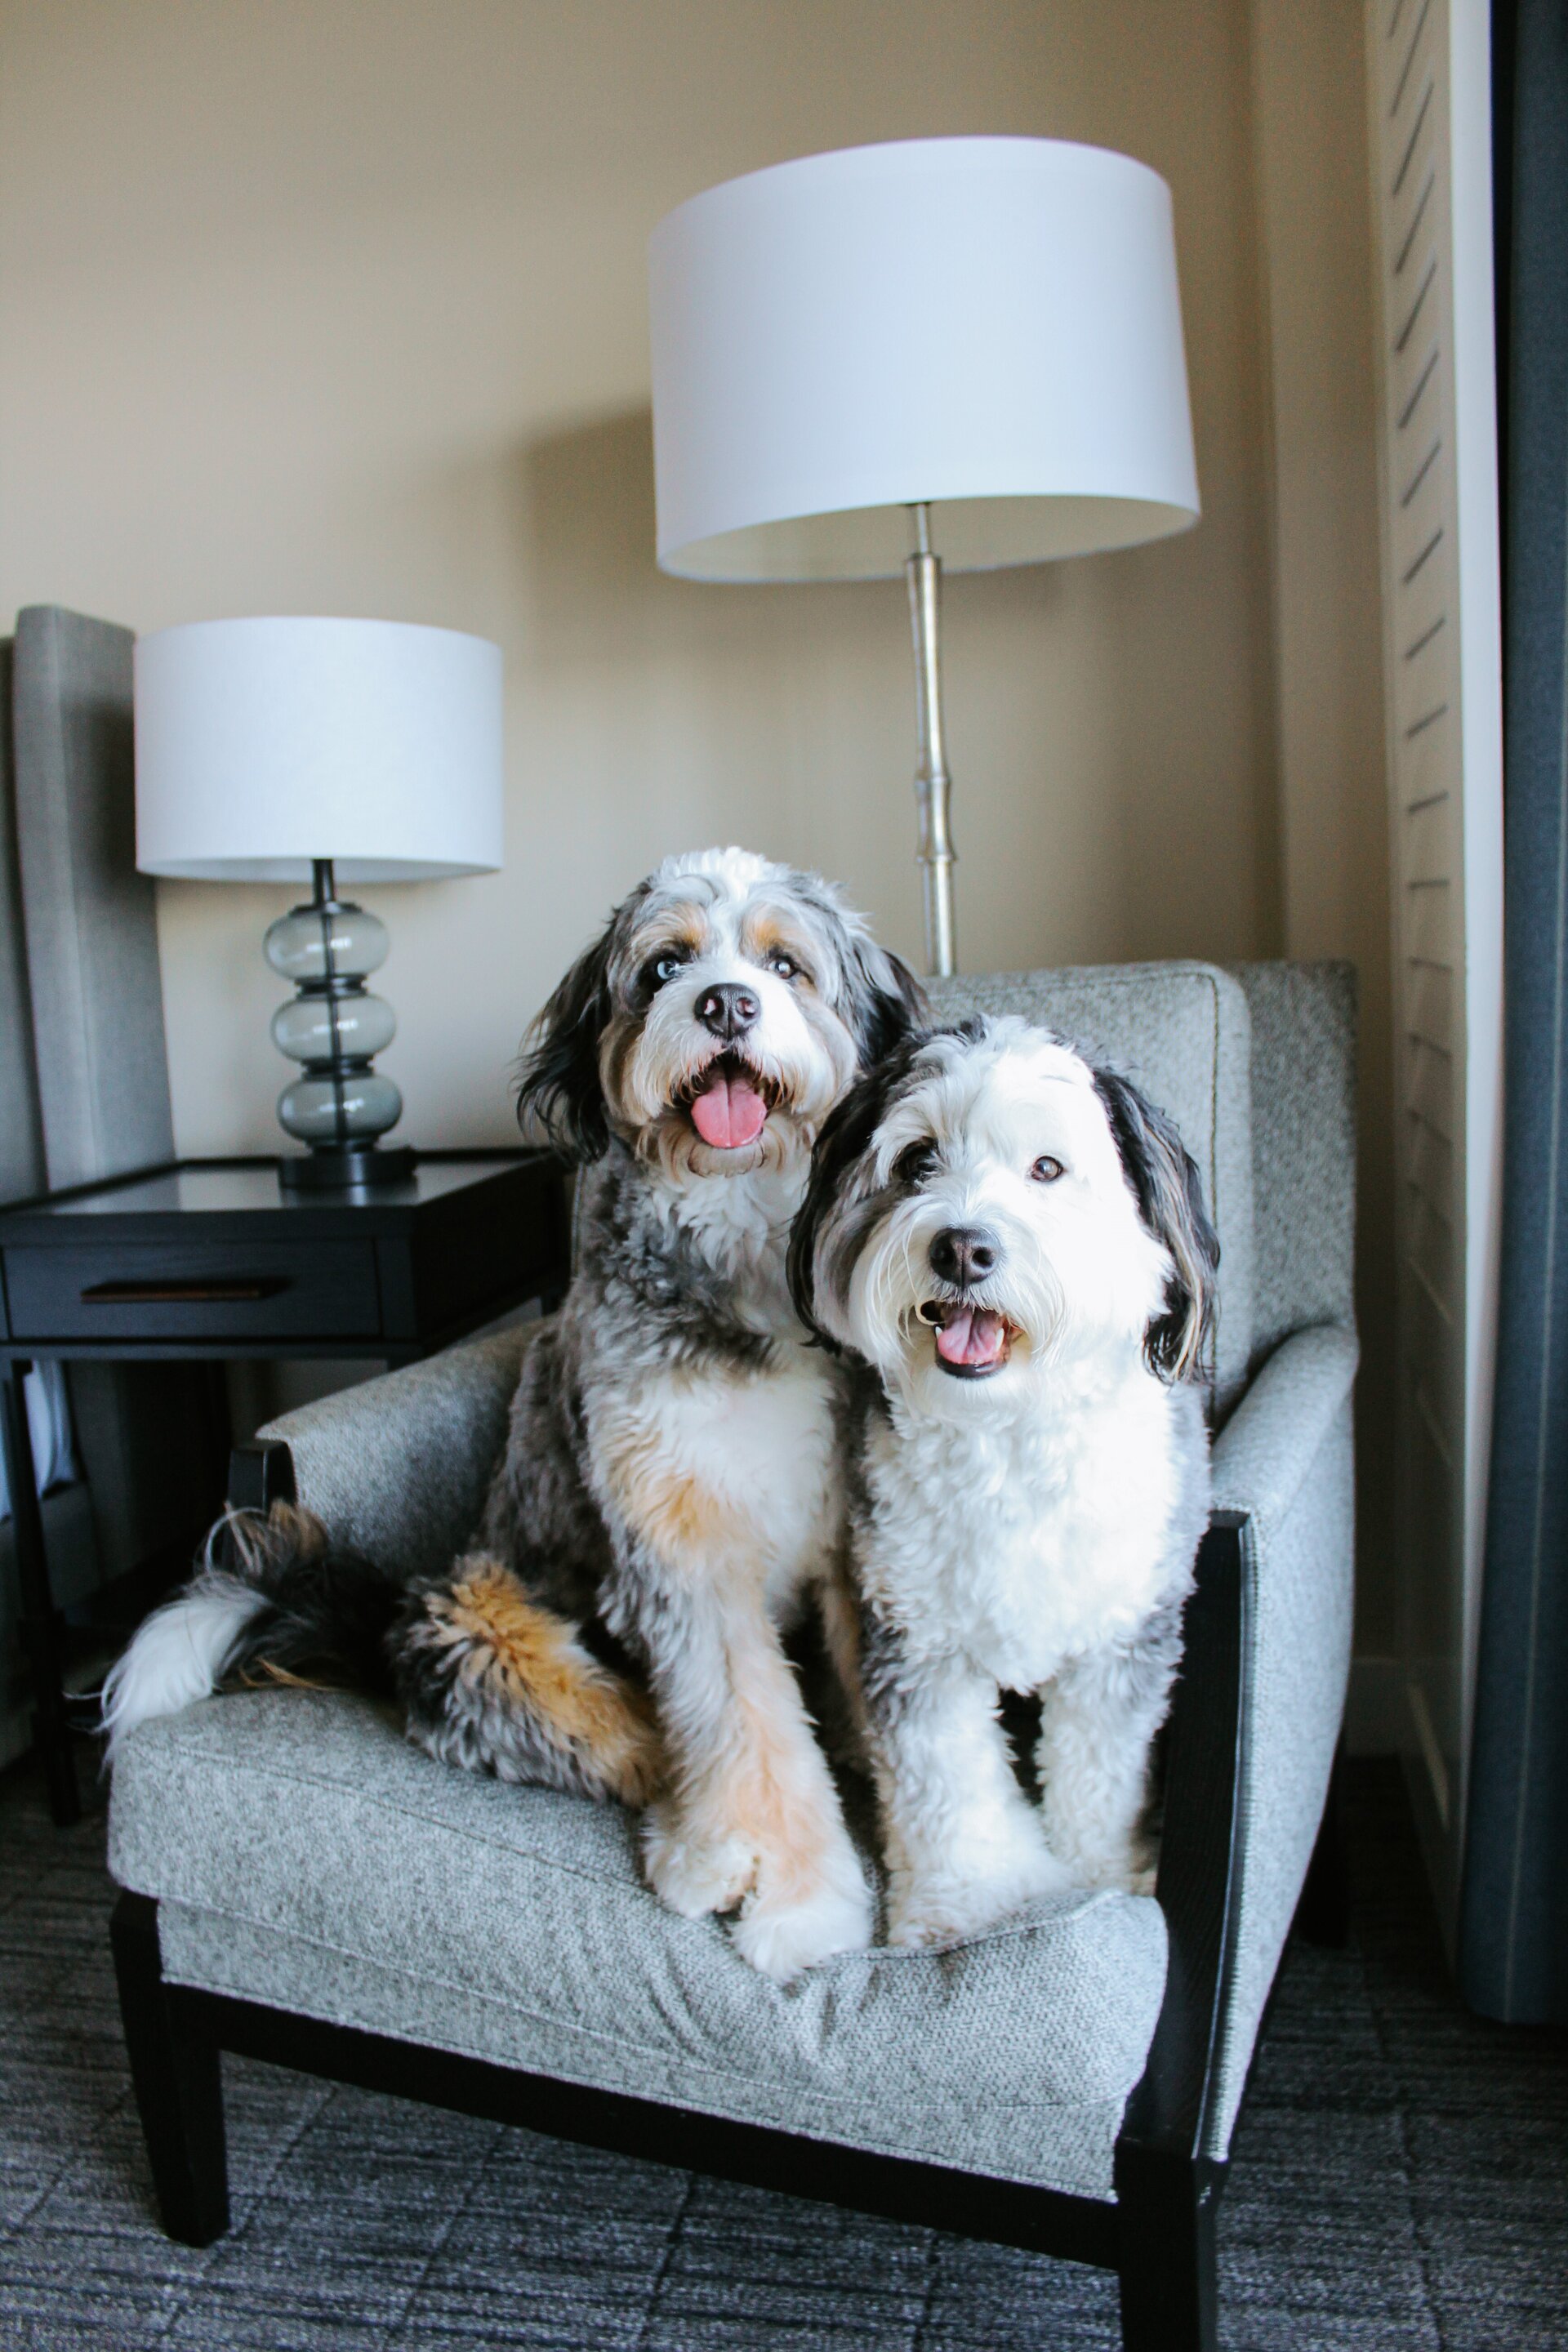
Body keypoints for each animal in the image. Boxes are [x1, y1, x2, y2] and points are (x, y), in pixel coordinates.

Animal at [104, 851, 926, 1984]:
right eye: (665, 965)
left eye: (785, 965)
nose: (723, 1003)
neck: (742, 1242)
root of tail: (384, 1626)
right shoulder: (679, 1549)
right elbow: (751, 1732)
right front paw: (803, 1902)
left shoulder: (847, 1536)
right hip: (485, 1625)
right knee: (643, 1744)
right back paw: (699, 1852)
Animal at [790, 1016, 1222, 1947]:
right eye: (918, 1160)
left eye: (1048, 1169)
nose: (961, 1246)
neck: (1006, 1435)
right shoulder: (912, 1638)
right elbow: (945, 1783)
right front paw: (966, 1903)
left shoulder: (1120, 1640)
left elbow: (1101, 1771)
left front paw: (1101, 1873)